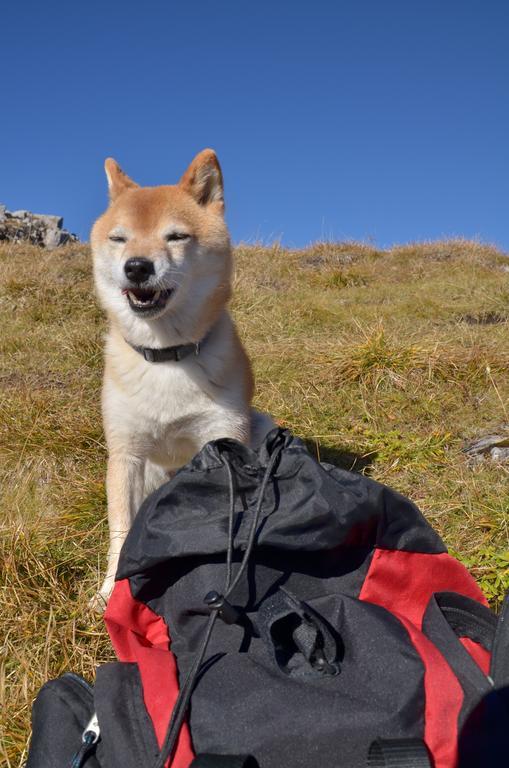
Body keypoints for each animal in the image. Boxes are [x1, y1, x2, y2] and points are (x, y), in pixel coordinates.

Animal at [91, 148, 274, 608]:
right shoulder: (126, 455)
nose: (137, 267)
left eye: (176, 236)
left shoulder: (224, 437)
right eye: (118, 239)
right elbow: (121, 532)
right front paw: (110, 593)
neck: (165, 358)